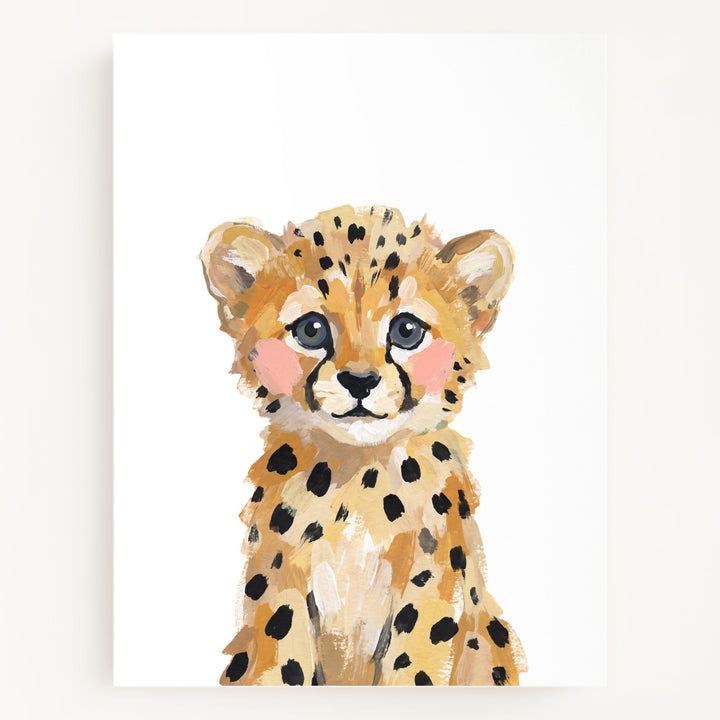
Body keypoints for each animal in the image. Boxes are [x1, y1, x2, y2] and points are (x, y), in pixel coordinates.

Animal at [200, 204, 527, 686]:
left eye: (407, 330)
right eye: (311, 330)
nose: (359, 380)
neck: (358, 476)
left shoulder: (429, 586)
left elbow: (415, 664)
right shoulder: (281, 583)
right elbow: (282, 656)